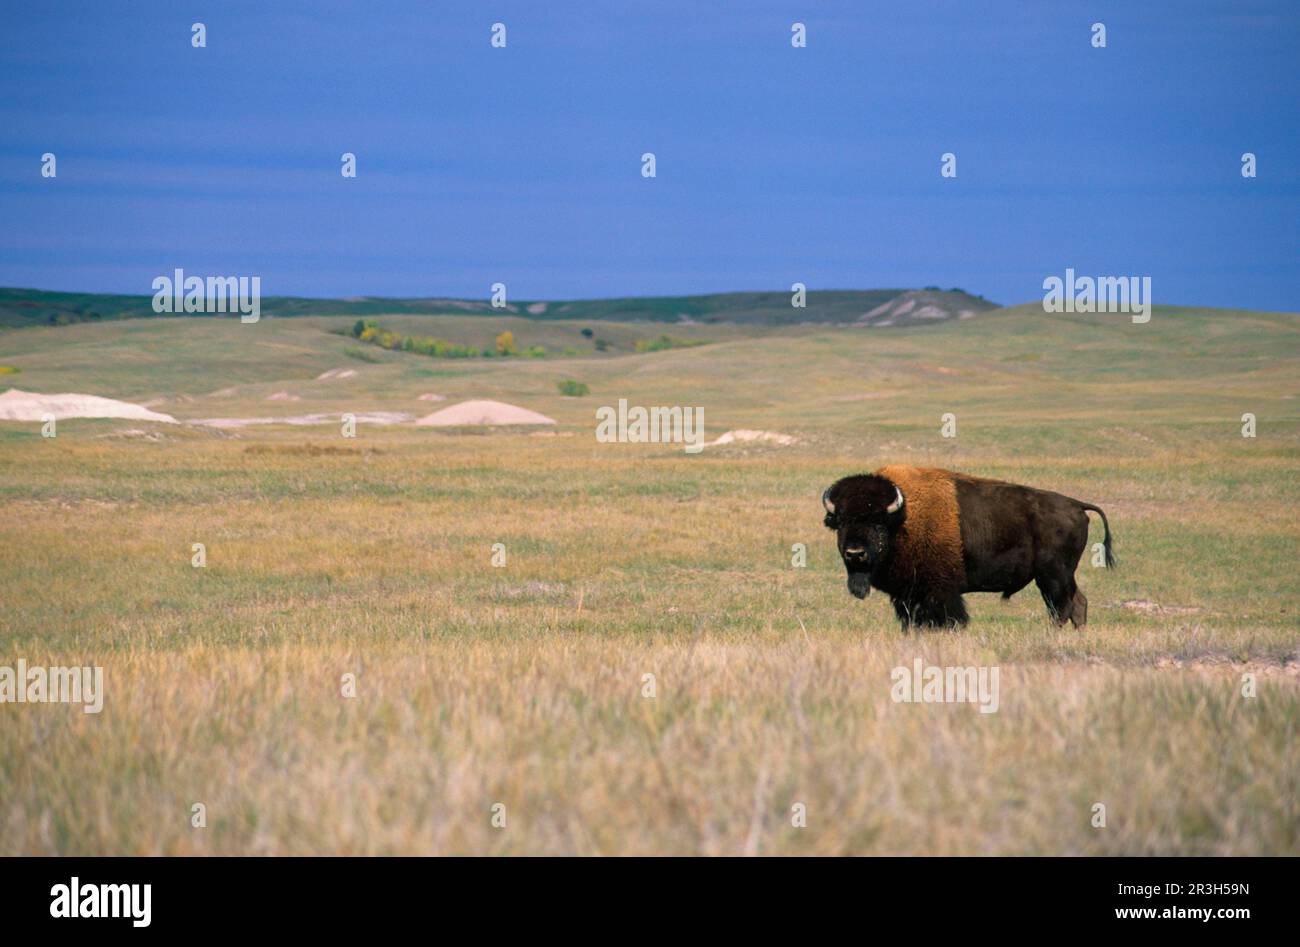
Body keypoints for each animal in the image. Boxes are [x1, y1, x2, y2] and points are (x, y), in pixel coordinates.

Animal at [822, 465, 1114, 629]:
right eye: (841, 521)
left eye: (878, 521)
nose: (855, 553)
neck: (902, 519)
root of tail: (1076, 505)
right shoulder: (907, 596)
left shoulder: (940, 592)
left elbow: (948, 619)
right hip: (1061, 576)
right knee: (1077, 604)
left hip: (1053, 576)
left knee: (1061, 608)